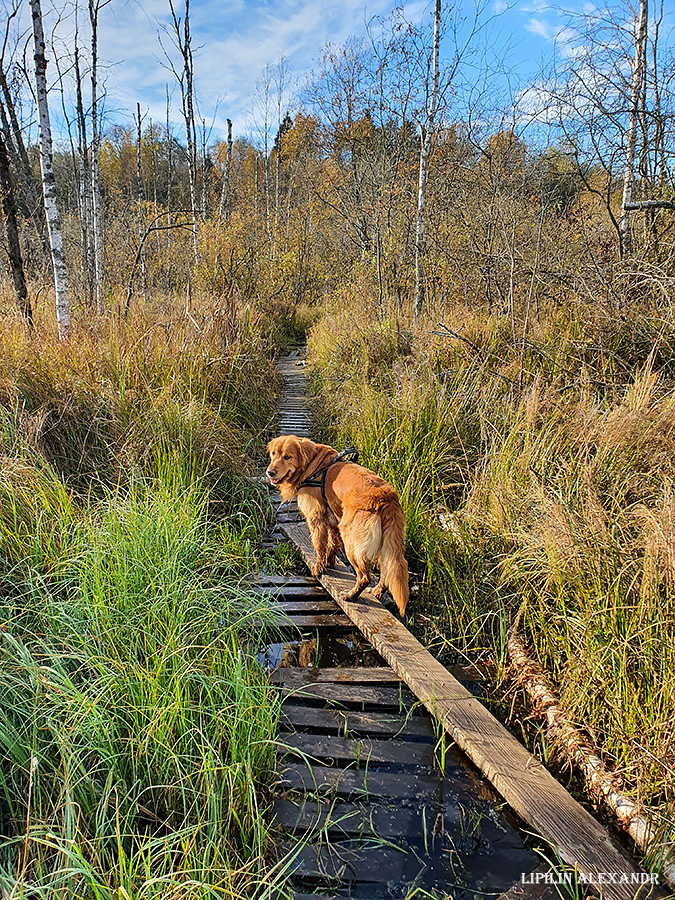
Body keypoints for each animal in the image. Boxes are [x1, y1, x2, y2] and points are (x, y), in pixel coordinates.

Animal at [266, 432, 410, 616]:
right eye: (273, 454)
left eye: (287, 457)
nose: (270, 472)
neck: (313, 467)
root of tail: (386, 497)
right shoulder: (334, 519)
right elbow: (332, 544)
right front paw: (329, 562)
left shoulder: (316, 518)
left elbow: (319, 546)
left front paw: (318, 568)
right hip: (385, 544)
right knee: (387, 570)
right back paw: (376, 592)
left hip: (352, 543)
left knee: (364, 576)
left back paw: (350, 596)